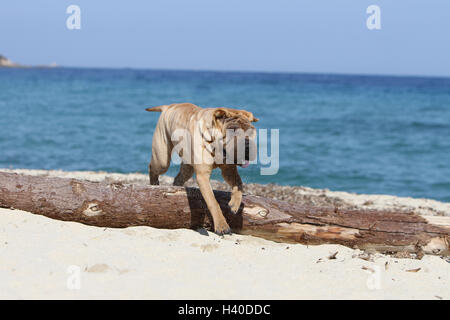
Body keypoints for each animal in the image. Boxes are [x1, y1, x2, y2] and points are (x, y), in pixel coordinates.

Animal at [146, 103, 258, 235]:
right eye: (233, 132)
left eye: (252, 132)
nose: (247, 145)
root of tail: (169, 106)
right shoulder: (203, 176)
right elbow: (213, 202)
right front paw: (221, 225)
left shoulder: (229, 170)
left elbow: (239, 183)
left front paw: (234, 204)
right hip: (162, 159)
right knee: (153, 168)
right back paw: (154, 184)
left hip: (187, 167)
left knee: (179, 177)